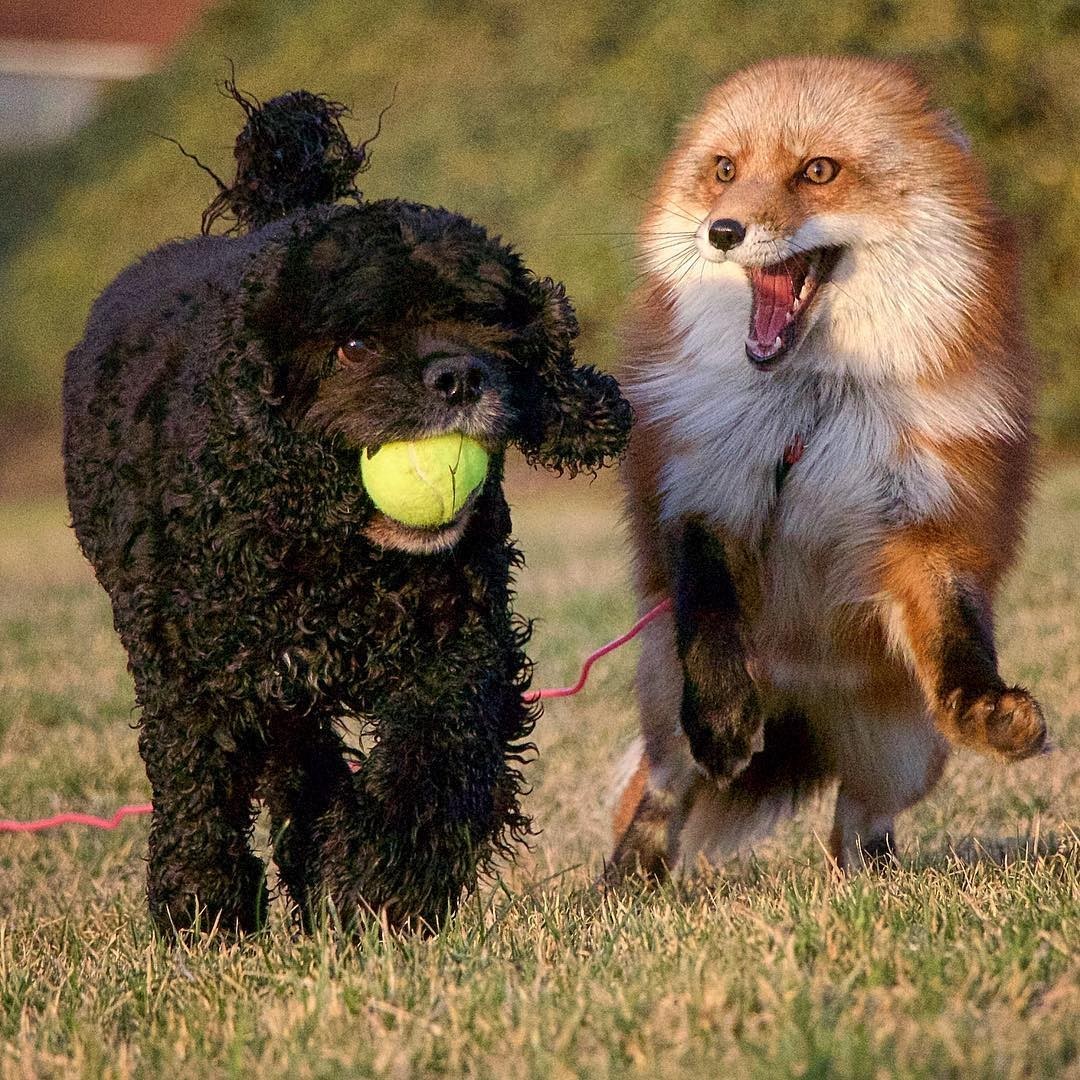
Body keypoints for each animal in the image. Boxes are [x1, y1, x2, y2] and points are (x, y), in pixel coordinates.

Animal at [61, 90, 630, 937]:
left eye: (487, 324)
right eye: (355, 345)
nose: (459, 377)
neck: (333, 548)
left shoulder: (457, 648)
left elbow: (435, 763)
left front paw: (379, 884)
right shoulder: (193, 660)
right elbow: (196, 775)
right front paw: (202, 907)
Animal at [617, 54, 1045, 872]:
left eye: (817, 171)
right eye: (724, 170)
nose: (722, 232)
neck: (811, 409)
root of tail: (804, 694)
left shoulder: (919, 525)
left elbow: (956, 636)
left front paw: (983, 702)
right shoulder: (701, 490)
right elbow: (708, 606)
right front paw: (724, 711)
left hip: (904, 756)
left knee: (857, 825)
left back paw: (875, 881)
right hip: (664, 720)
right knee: (656, 800)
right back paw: (622, 886)